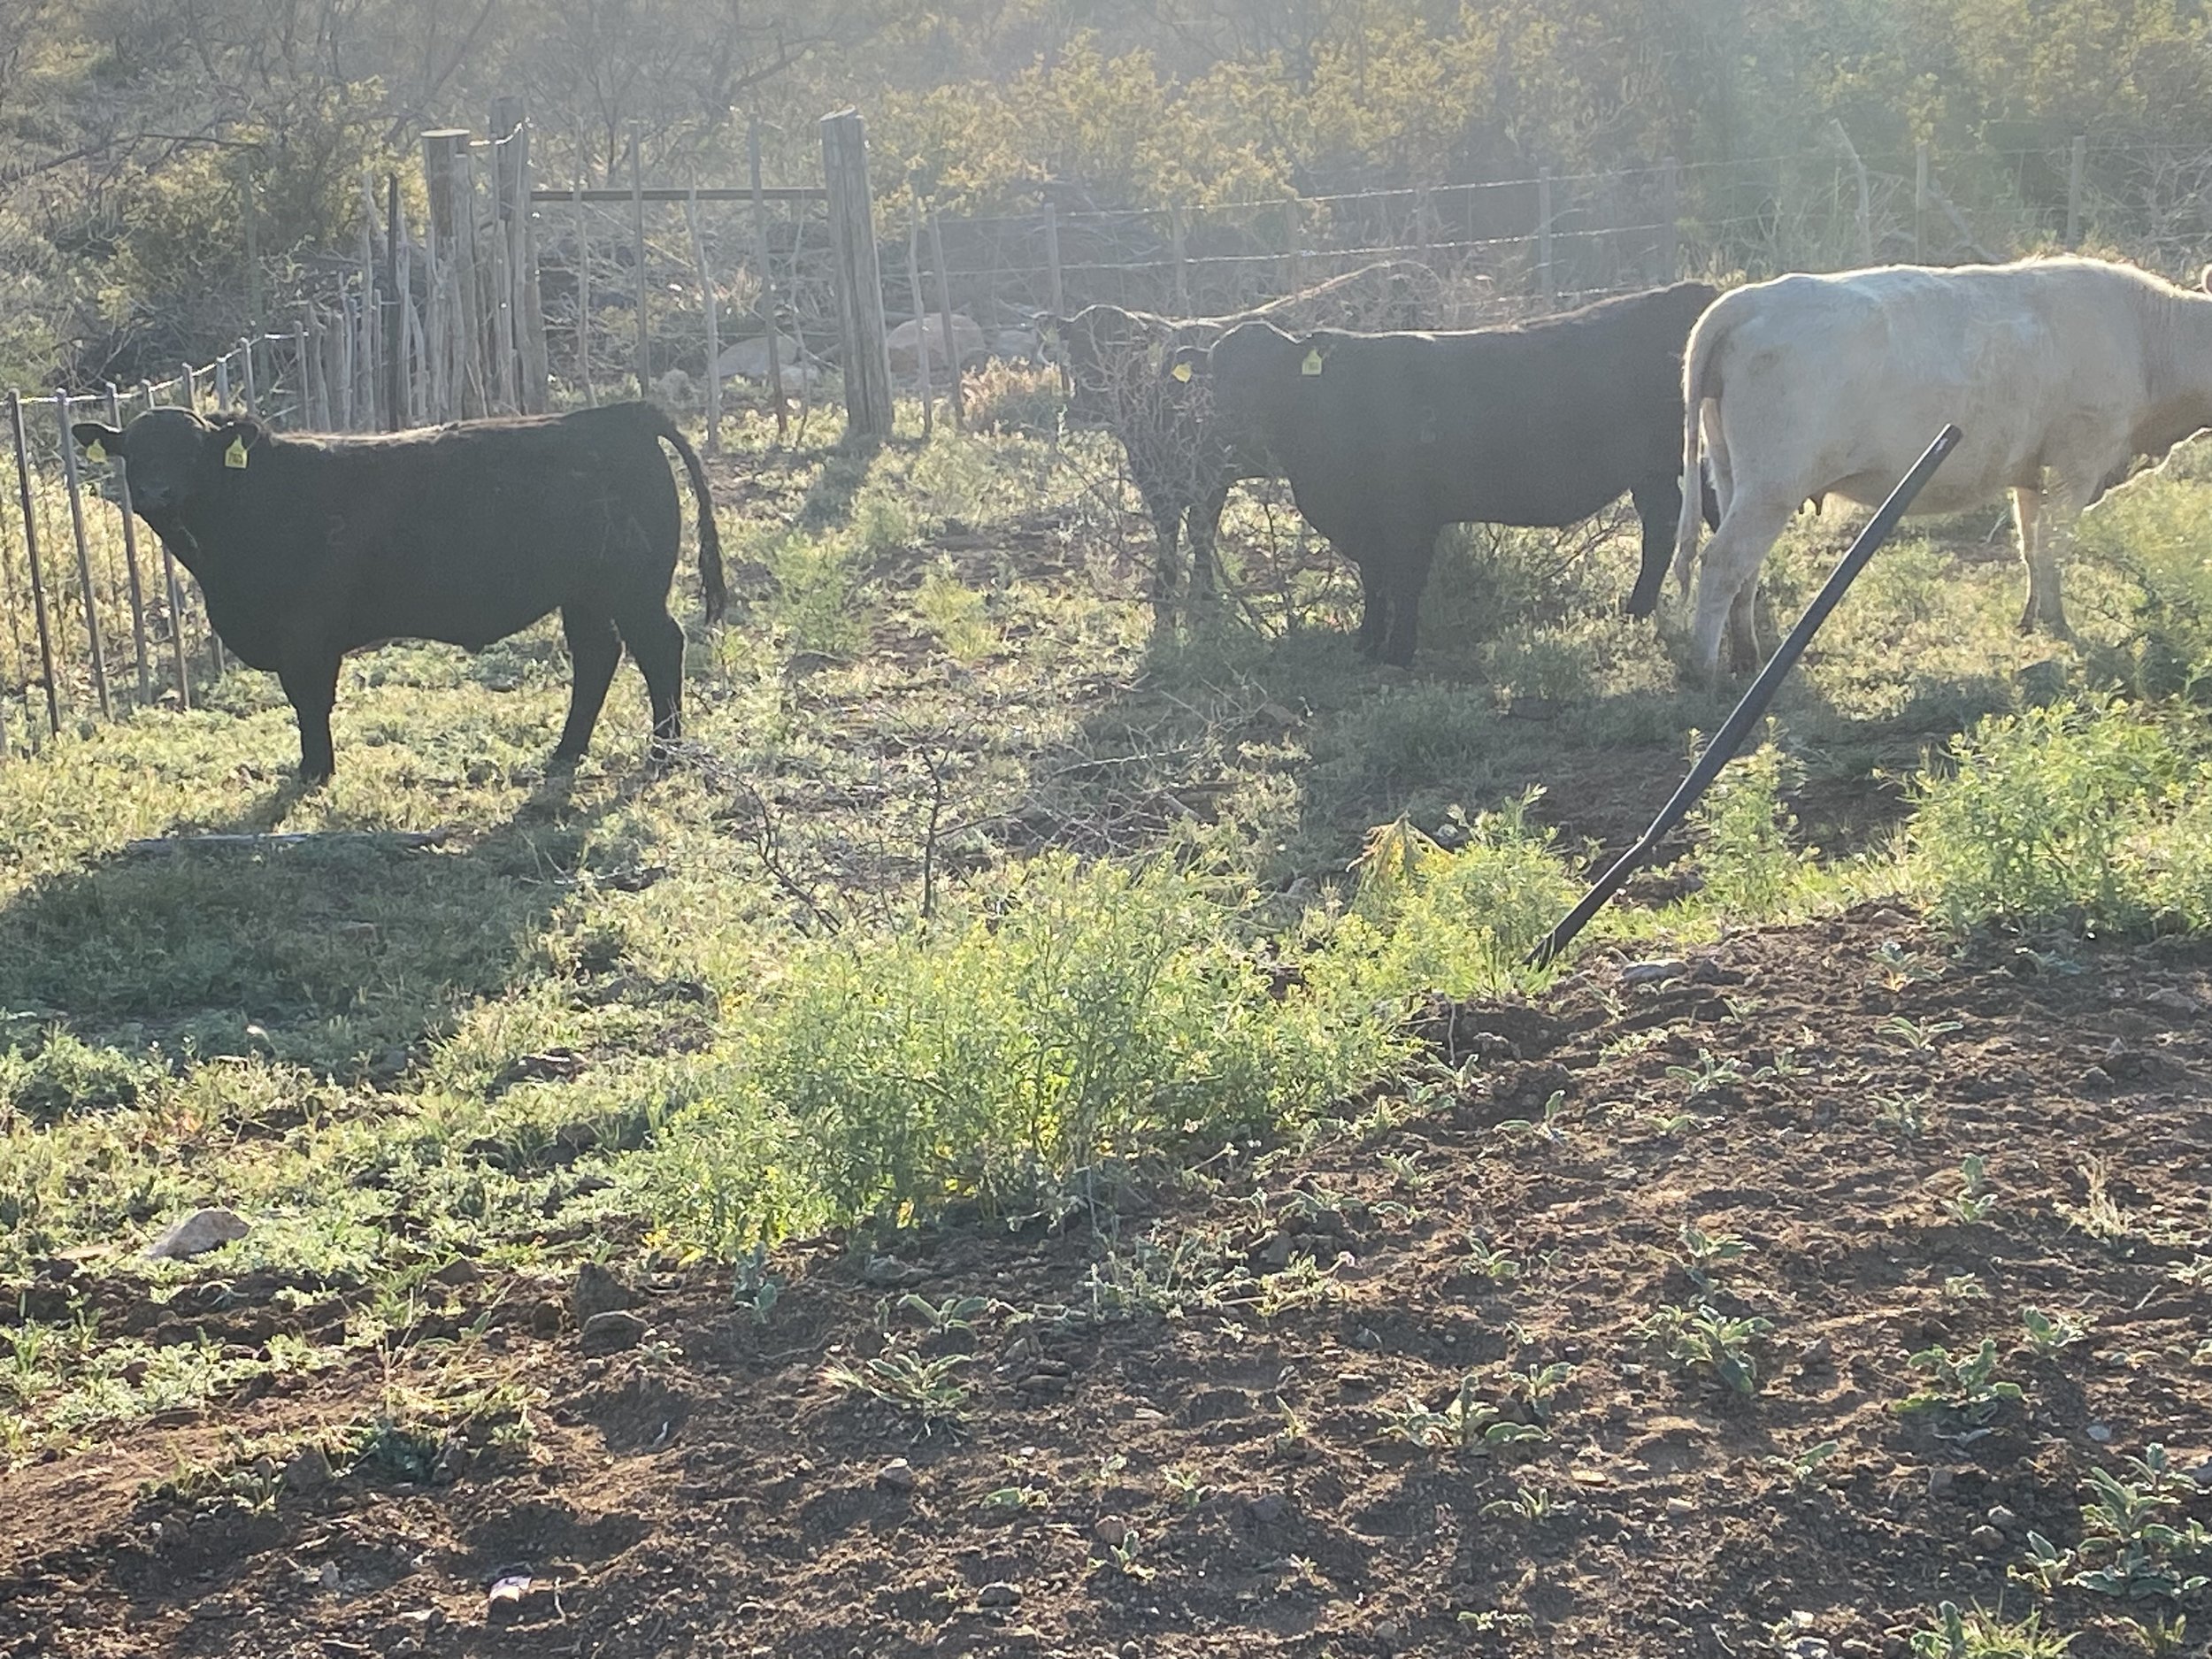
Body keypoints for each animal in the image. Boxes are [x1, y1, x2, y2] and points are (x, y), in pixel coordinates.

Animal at [71, 401, 725, 784]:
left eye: (191, 451)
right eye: (135, 452)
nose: (154, 493)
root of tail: (617, 413)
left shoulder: (305, 635)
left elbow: (310, 702)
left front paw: (314, 771)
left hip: (633, 587)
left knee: (660, 647)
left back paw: (664, 752)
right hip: (585, 592)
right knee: (597, 656)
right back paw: (567, 753)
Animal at [1045, 260, 1439, 618]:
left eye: (1122, 349)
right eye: (1075, 349)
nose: (1086, 405)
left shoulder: (1211, 475)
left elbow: (1201, 533)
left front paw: (1204, 599)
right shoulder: (1154, 479)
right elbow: (1167, 532)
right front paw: (1164, 595)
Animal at [1182, 281, 1720, 667]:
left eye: (1270, 375)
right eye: (1218, 375)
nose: (1230, 420)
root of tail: (1693, 292)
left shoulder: (1409, 515)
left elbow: (1403, 580)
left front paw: (1398, 653)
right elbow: (1374, 579)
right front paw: (1366, 644)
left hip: (1696, 460)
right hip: (1650, 471)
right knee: (1661, 527)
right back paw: (1636, 613)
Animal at [1673, 256, 2212, 681]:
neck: (2147, 339)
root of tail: (1750, 299)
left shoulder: (2033, 473)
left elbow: (2031, 549)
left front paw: (2031, 621)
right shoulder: (2079, 461)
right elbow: (2053, 549)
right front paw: (2060, 626)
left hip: (1733, 475)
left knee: (1745, 567)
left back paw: (1746, 657)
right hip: (1772, 485)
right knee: (1723, 561)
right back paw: (1705, 669)